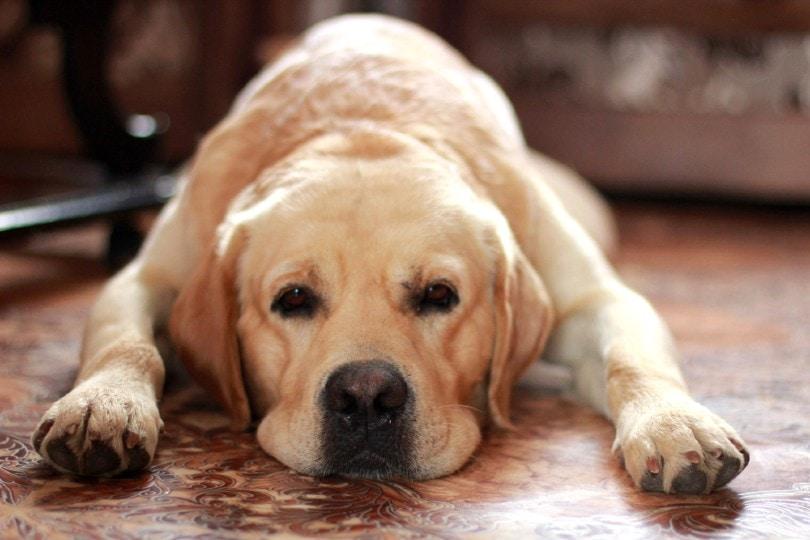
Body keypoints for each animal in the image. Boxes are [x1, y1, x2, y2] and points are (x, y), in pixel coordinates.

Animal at [34, 13, 748, 494]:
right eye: (293, 299)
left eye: (439, 295)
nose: (366, 397)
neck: (364, 130)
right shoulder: (146, 274)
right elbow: (129, 343)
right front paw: (102, 405)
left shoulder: (597, 297)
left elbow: (631, 357)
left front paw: (675, 425)